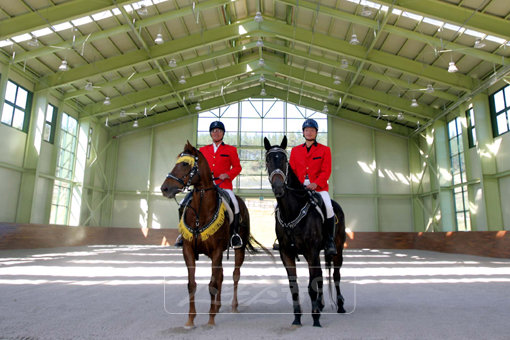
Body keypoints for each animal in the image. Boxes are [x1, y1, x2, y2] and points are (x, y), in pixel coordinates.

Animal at [159, 141, 264, 330]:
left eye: (184, 164)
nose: (165, 188)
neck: (201, 209)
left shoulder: (216, 251)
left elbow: (212, 284)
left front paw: (210, 320)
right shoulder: (188, 250)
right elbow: (192, 285)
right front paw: (191, 320)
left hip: (238, 249)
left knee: (235, 275)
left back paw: (232, 306)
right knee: (221, 275)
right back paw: (217, 306)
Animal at [262, 137, 346, 328]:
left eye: (284, 160)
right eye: (268, 160)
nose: (278, 187)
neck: (293, 210)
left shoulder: (311, 252)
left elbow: (311, 285)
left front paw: (315, 318)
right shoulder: (286, 254)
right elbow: (295, 286)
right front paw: (297, 318)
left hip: (337, 249)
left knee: (336, 275)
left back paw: (340, 306)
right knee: (321, 275)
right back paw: (321, 305)